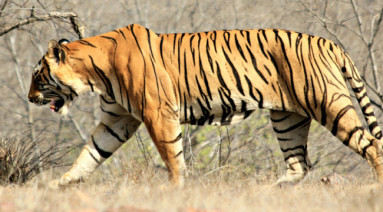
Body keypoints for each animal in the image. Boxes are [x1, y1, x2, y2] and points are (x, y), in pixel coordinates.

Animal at [27, 24, 383, 188]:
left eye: (37, 77)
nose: (29, 98)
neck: (94, 73)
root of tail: (330, 43)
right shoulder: (118, 120)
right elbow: (90, 154)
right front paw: (59, 185)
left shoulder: (158, 114)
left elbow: (172, 157)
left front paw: (177, 189)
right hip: (288, 118)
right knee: (299, 165)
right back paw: (270, 191)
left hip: (329, 104)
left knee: (371, 144)